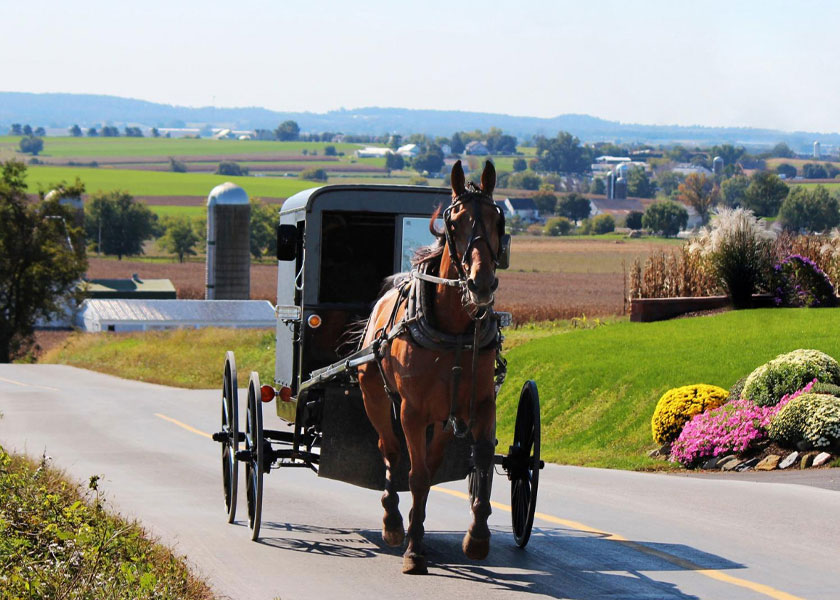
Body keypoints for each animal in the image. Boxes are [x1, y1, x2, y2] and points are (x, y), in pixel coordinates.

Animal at [356, 161, 506, 576]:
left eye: (498, 220)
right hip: (377, 399)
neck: (453, 331)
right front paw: (413, 549)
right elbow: (417, 475)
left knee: (432, 458)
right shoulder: (412, 410)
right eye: (454, 223)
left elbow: (482, 457)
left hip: (443, 418)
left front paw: (477, 536)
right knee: (390, 452)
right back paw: (394, 523)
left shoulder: (480, 404)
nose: (481, 283)